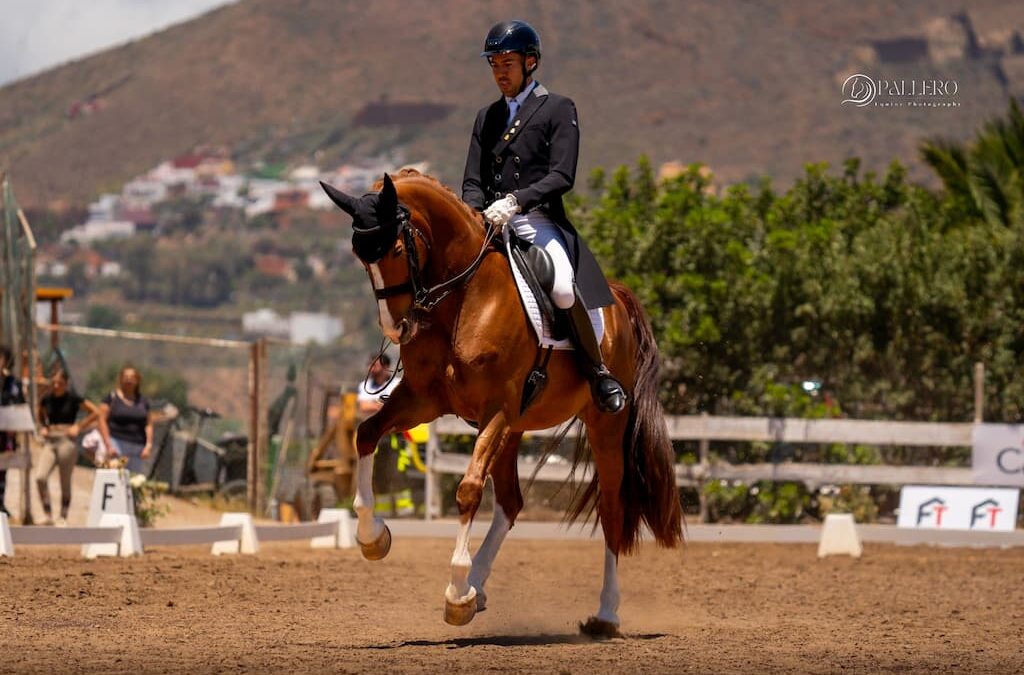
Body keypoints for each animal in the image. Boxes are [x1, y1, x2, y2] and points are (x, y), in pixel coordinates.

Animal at [323, 172, 684, 635]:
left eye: (398, 250)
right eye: (359, 255)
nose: (397, 327)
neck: (463, 298)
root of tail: (617, 298)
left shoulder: (495, 408)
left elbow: (468, 490)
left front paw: (456, 592)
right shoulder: (422, 401)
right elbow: (366, 434)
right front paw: (373, 538)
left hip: (603, 425)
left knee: (611, 509)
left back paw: (605, 614)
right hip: (515, 427)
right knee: (511, 502)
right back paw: (478, 587)